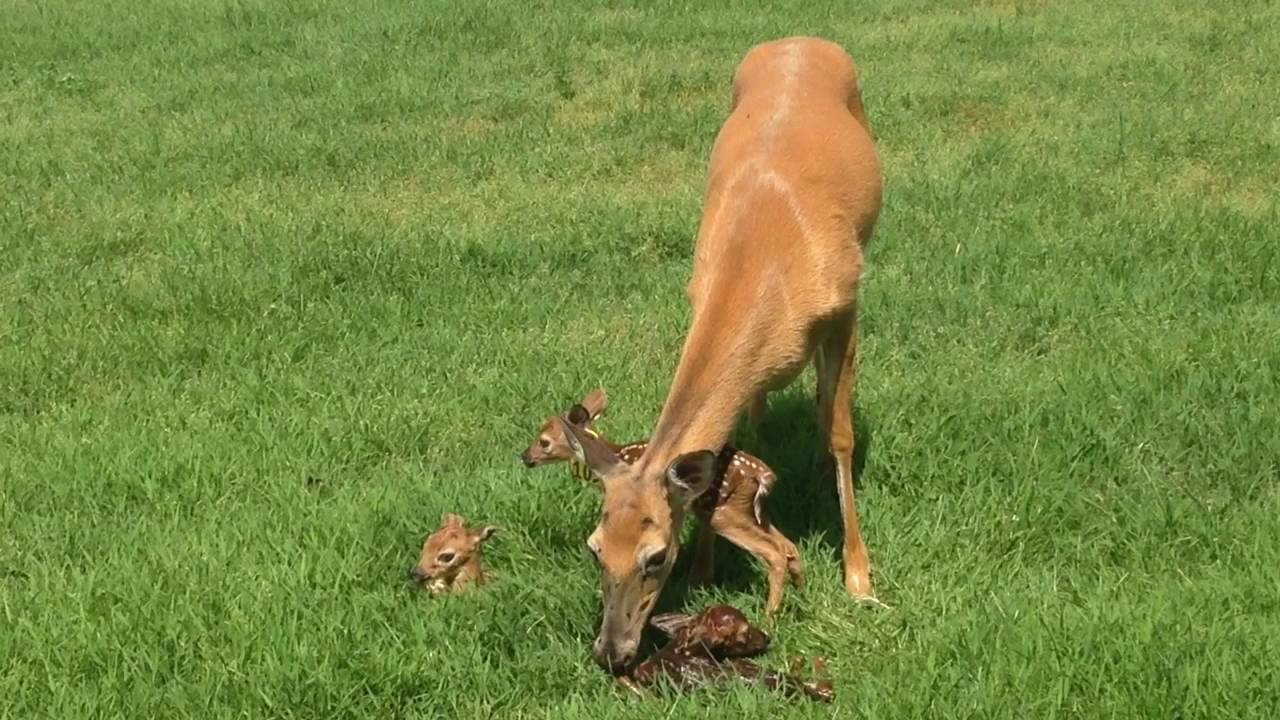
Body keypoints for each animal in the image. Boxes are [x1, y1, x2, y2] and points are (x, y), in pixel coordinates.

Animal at [522, 390, 805, 614]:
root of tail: (763, 474)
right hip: (751, 511)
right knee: (788, 546)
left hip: (722, 511)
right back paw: (799, 594)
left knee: (775, 552)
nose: (525, 456)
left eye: (544, 442)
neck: (616, 455)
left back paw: (768, 616)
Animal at [560, 36, 883, 675]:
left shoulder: (845, 308)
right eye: (594, 549)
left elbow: (841, 434)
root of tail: (799, 38)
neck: (761, 266)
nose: (612, 653)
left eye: (656, 556)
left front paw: (859, 576)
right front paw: (707, 569)